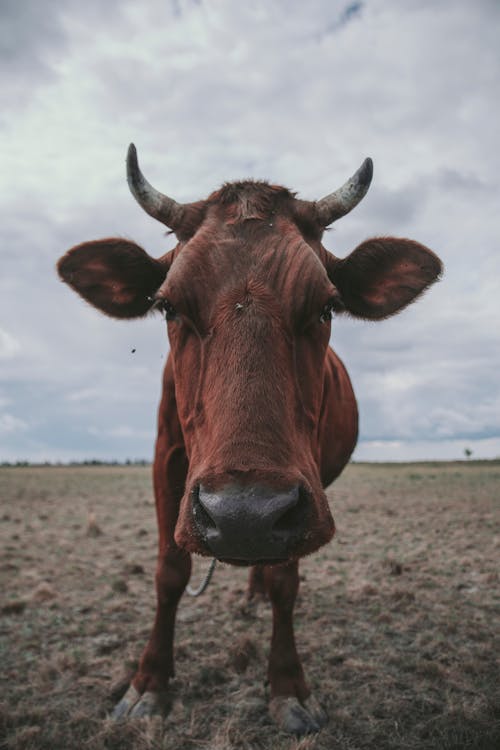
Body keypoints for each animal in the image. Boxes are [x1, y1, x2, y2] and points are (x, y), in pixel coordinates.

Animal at [56, 148, 444, 740]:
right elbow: (169, 574)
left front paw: (287, 685)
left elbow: (287, 580)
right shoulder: (166, 463)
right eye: (167, 306)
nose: (245, 515)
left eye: (326, 307)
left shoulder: (304, 490)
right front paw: (149, 683)